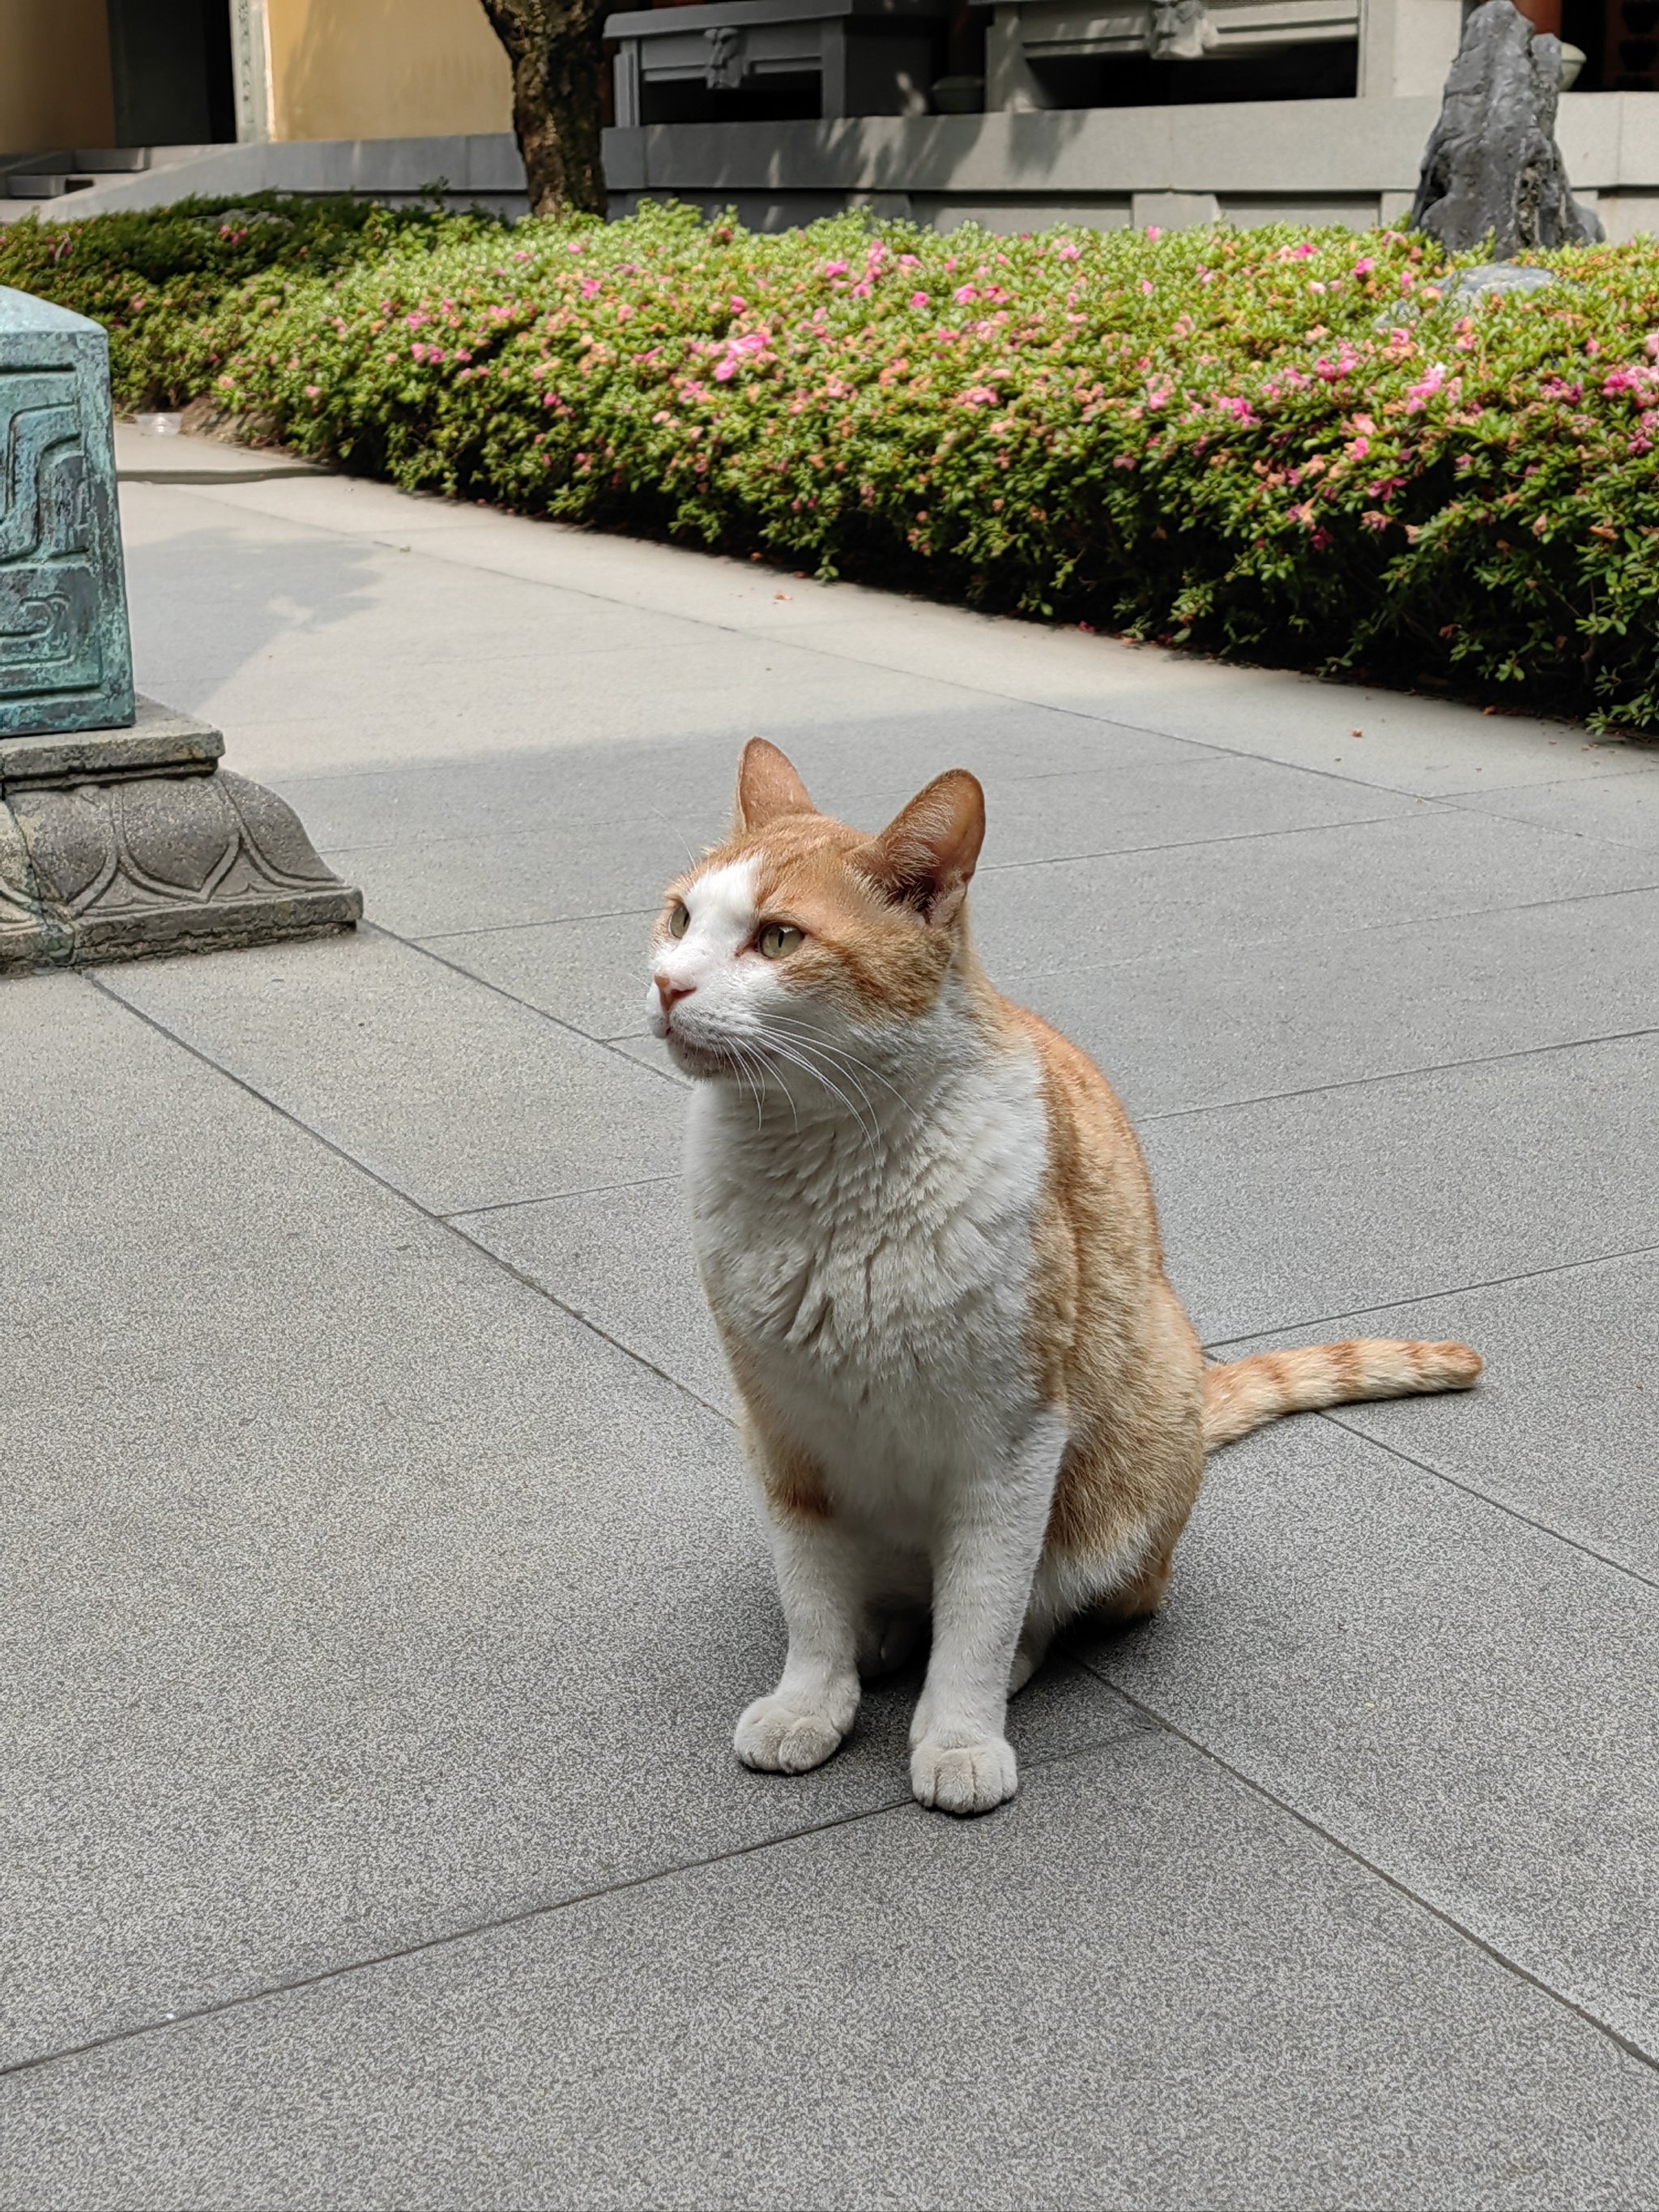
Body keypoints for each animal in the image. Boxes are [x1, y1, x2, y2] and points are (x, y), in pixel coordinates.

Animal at [646, 743, 1478, 1813]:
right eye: (679, 919)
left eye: (777, 938)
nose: (666, 985)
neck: (822, 1171)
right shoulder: (783, 1432)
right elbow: (810, 1598)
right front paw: (809, 1700)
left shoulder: (1010, 1442)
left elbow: (981, 1606)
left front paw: (957, 1734)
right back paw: (880, 1634)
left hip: (1127, 1459)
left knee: (1046, 1603)